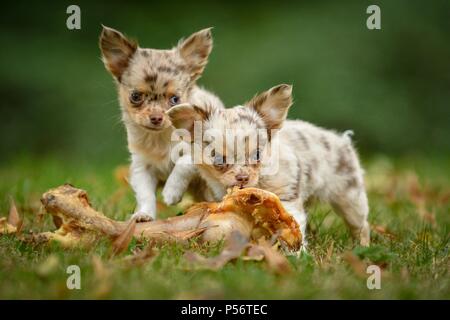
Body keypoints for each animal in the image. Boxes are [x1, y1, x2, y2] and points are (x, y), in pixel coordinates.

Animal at [100, 26, 223, 221]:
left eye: (175, 99)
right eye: (135, 96)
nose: (156, 117)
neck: (160, 138)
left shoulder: (202, 151)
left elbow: (184, 162)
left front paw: (171, 192)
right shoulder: (142, 168)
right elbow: (145, 194)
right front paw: (144, 215)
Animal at [167, 85, 370, 248]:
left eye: (257, 154)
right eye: (218, 159)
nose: (242, 177)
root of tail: (343, 140)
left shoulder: (286, 198)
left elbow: (291, 226)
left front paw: (297, 254)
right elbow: (187, 161)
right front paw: (172, 191)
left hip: (350, 198)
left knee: (361, 224)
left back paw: (362, 245)